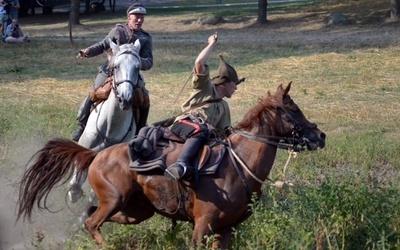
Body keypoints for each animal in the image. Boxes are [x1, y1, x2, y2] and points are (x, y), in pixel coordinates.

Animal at [18, 83, 324, 248]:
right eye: (293, 109)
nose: (319, 136)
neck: (238, 165)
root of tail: (96, 155)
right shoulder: (202, 226)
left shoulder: (225, 230)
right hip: (115, 200)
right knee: (93, 222)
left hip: (135, 211)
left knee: (89, 216)